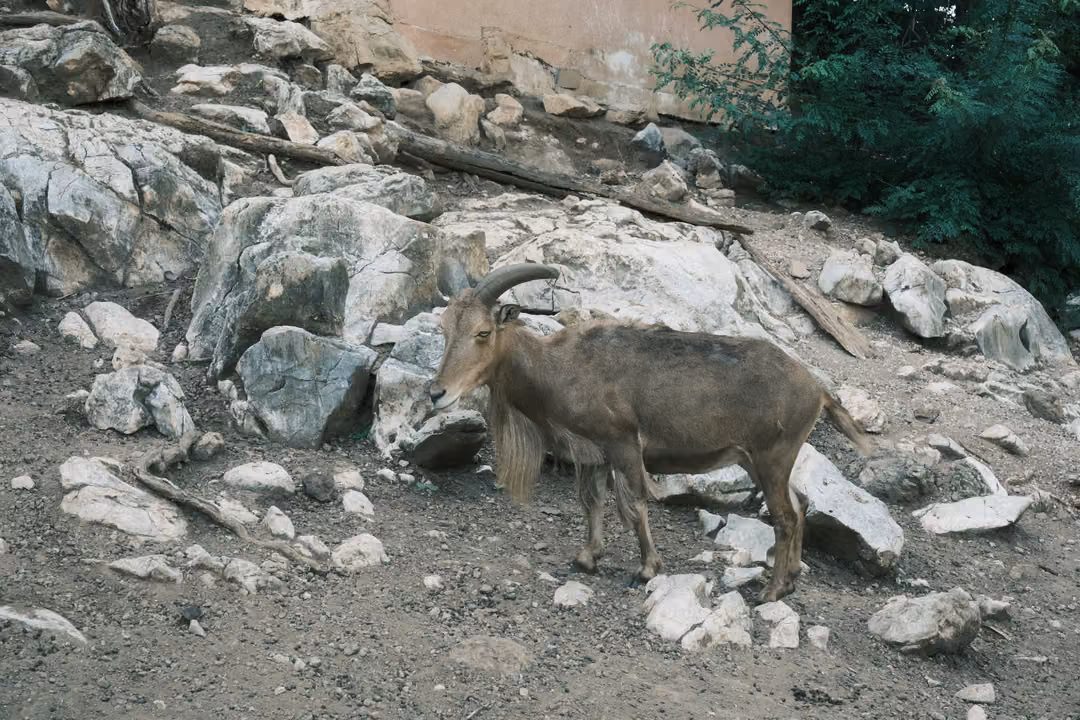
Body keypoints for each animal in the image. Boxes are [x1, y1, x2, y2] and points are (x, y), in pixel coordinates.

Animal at [429, 263, 874, 602]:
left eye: (483, 332)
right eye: (445, 329)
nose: (437, 393)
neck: (561, 367)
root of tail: (817, 389)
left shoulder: (623, 443)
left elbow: (636, 504)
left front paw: (646, 569)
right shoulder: (592, 453)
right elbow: (590, 501)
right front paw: (587, 557)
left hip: (772, 457)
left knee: (785, 516)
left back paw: (773, 590)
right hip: (760, 461)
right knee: (800, 504)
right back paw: (793, 576)